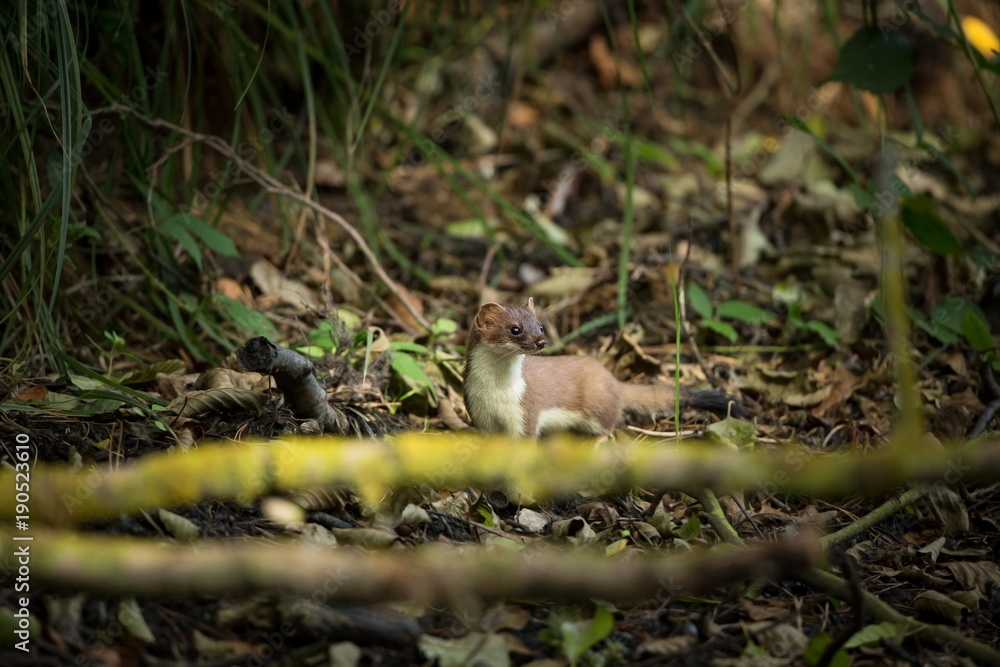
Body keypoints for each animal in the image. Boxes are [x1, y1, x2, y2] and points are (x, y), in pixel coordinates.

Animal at [460, 298, 744, 438]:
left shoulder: (526, 413)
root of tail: (613, 380)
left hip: (598, 408)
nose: (541, 341)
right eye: (515, 329)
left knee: (608, 428)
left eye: (539, 325)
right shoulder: (479, 413)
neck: (496, 392)